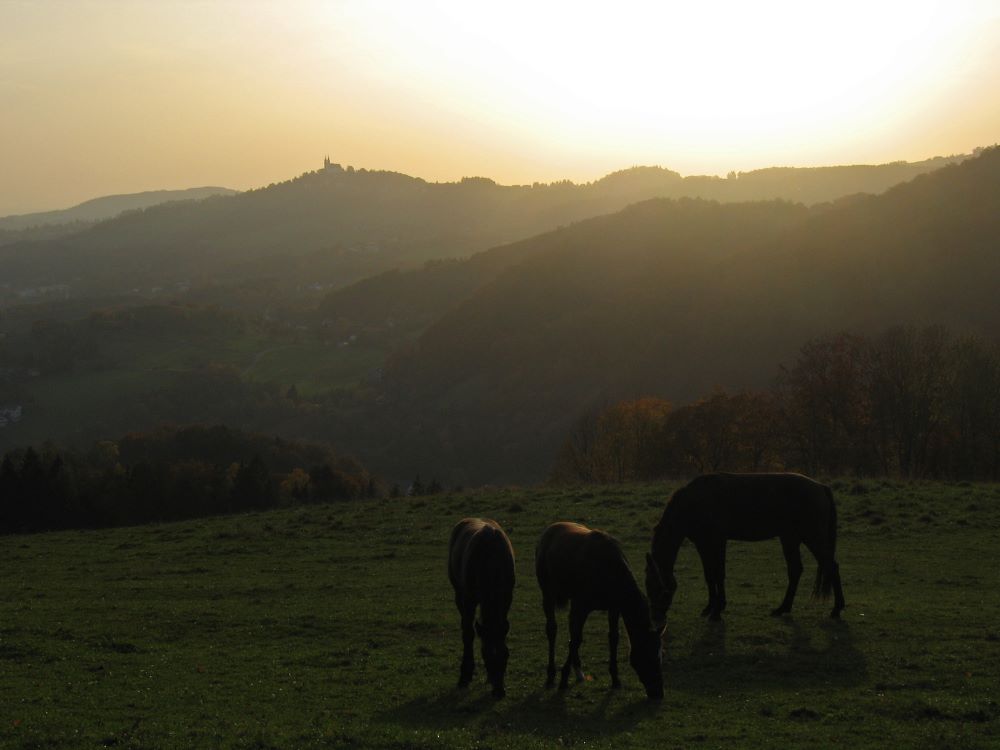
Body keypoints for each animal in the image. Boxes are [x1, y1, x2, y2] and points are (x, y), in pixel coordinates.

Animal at [448, 517, 516, 698]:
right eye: (485, 655)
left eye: (506, 654)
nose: (499, 691)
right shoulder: (469, 599)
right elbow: (468, 633)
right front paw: (465, 675)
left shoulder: (506, 598)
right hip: (459, 594)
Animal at [536, 521, 664, 700]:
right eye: (650, 656)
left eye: (661, 656)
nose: (658, 692)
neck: (609, 572)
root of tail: (549, 530)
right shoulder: (581, 605)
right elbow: (576, 639)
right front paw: (563, 680)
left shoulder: (614, 607)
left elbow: (613, 637)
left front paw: (616, 679)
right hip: (547, 591)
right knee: (552, 629)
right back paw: (551, 675)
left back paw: (579, 672)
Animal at [645, 473, 845, 625]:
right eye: (648, 586)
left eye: (659, 589)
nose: (656, 619)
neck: (694, 502)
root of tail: (821, 487)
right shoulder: (703, 544)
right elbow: (709, 575)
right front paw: (710, 607)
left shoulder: (717, 541)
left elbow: (719, 574)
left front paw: (717, 611)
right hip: (790, 539)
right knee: (796, 570)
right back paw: (783, 608)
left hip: (812, 538)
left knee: (831, 566)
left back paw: (836, 609)